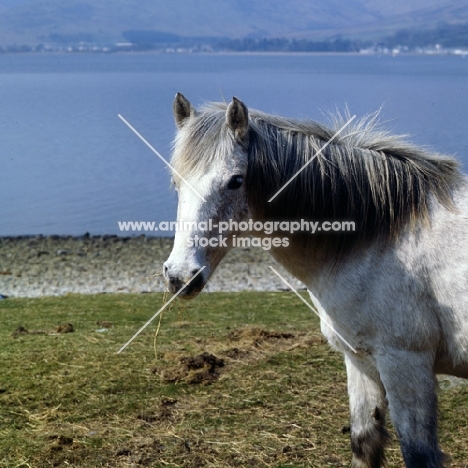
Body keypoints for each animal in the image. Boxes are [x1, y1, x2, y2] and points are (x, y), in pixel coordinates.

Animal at [165, 93, 468, 466]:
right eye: (176, 181)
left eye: (235, 180)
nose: (181, 276)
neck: (380, 237)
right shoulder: (360, 359)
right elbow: (364, 441)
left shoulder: (405, 363)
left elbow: (418, 454)